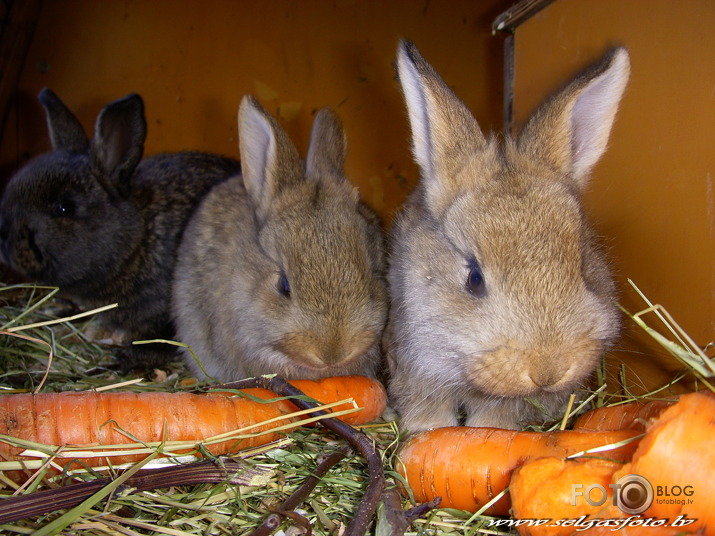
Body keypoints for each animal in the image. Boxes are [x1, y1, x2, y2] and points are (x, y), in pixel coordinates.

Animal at [386, 43, 632, 436]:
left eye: (583, 268)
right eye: (474, 279)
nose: (547, 370)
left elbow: (493, 420)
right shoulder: (412, 364)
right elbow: (427, 413)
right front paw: (423, 434)